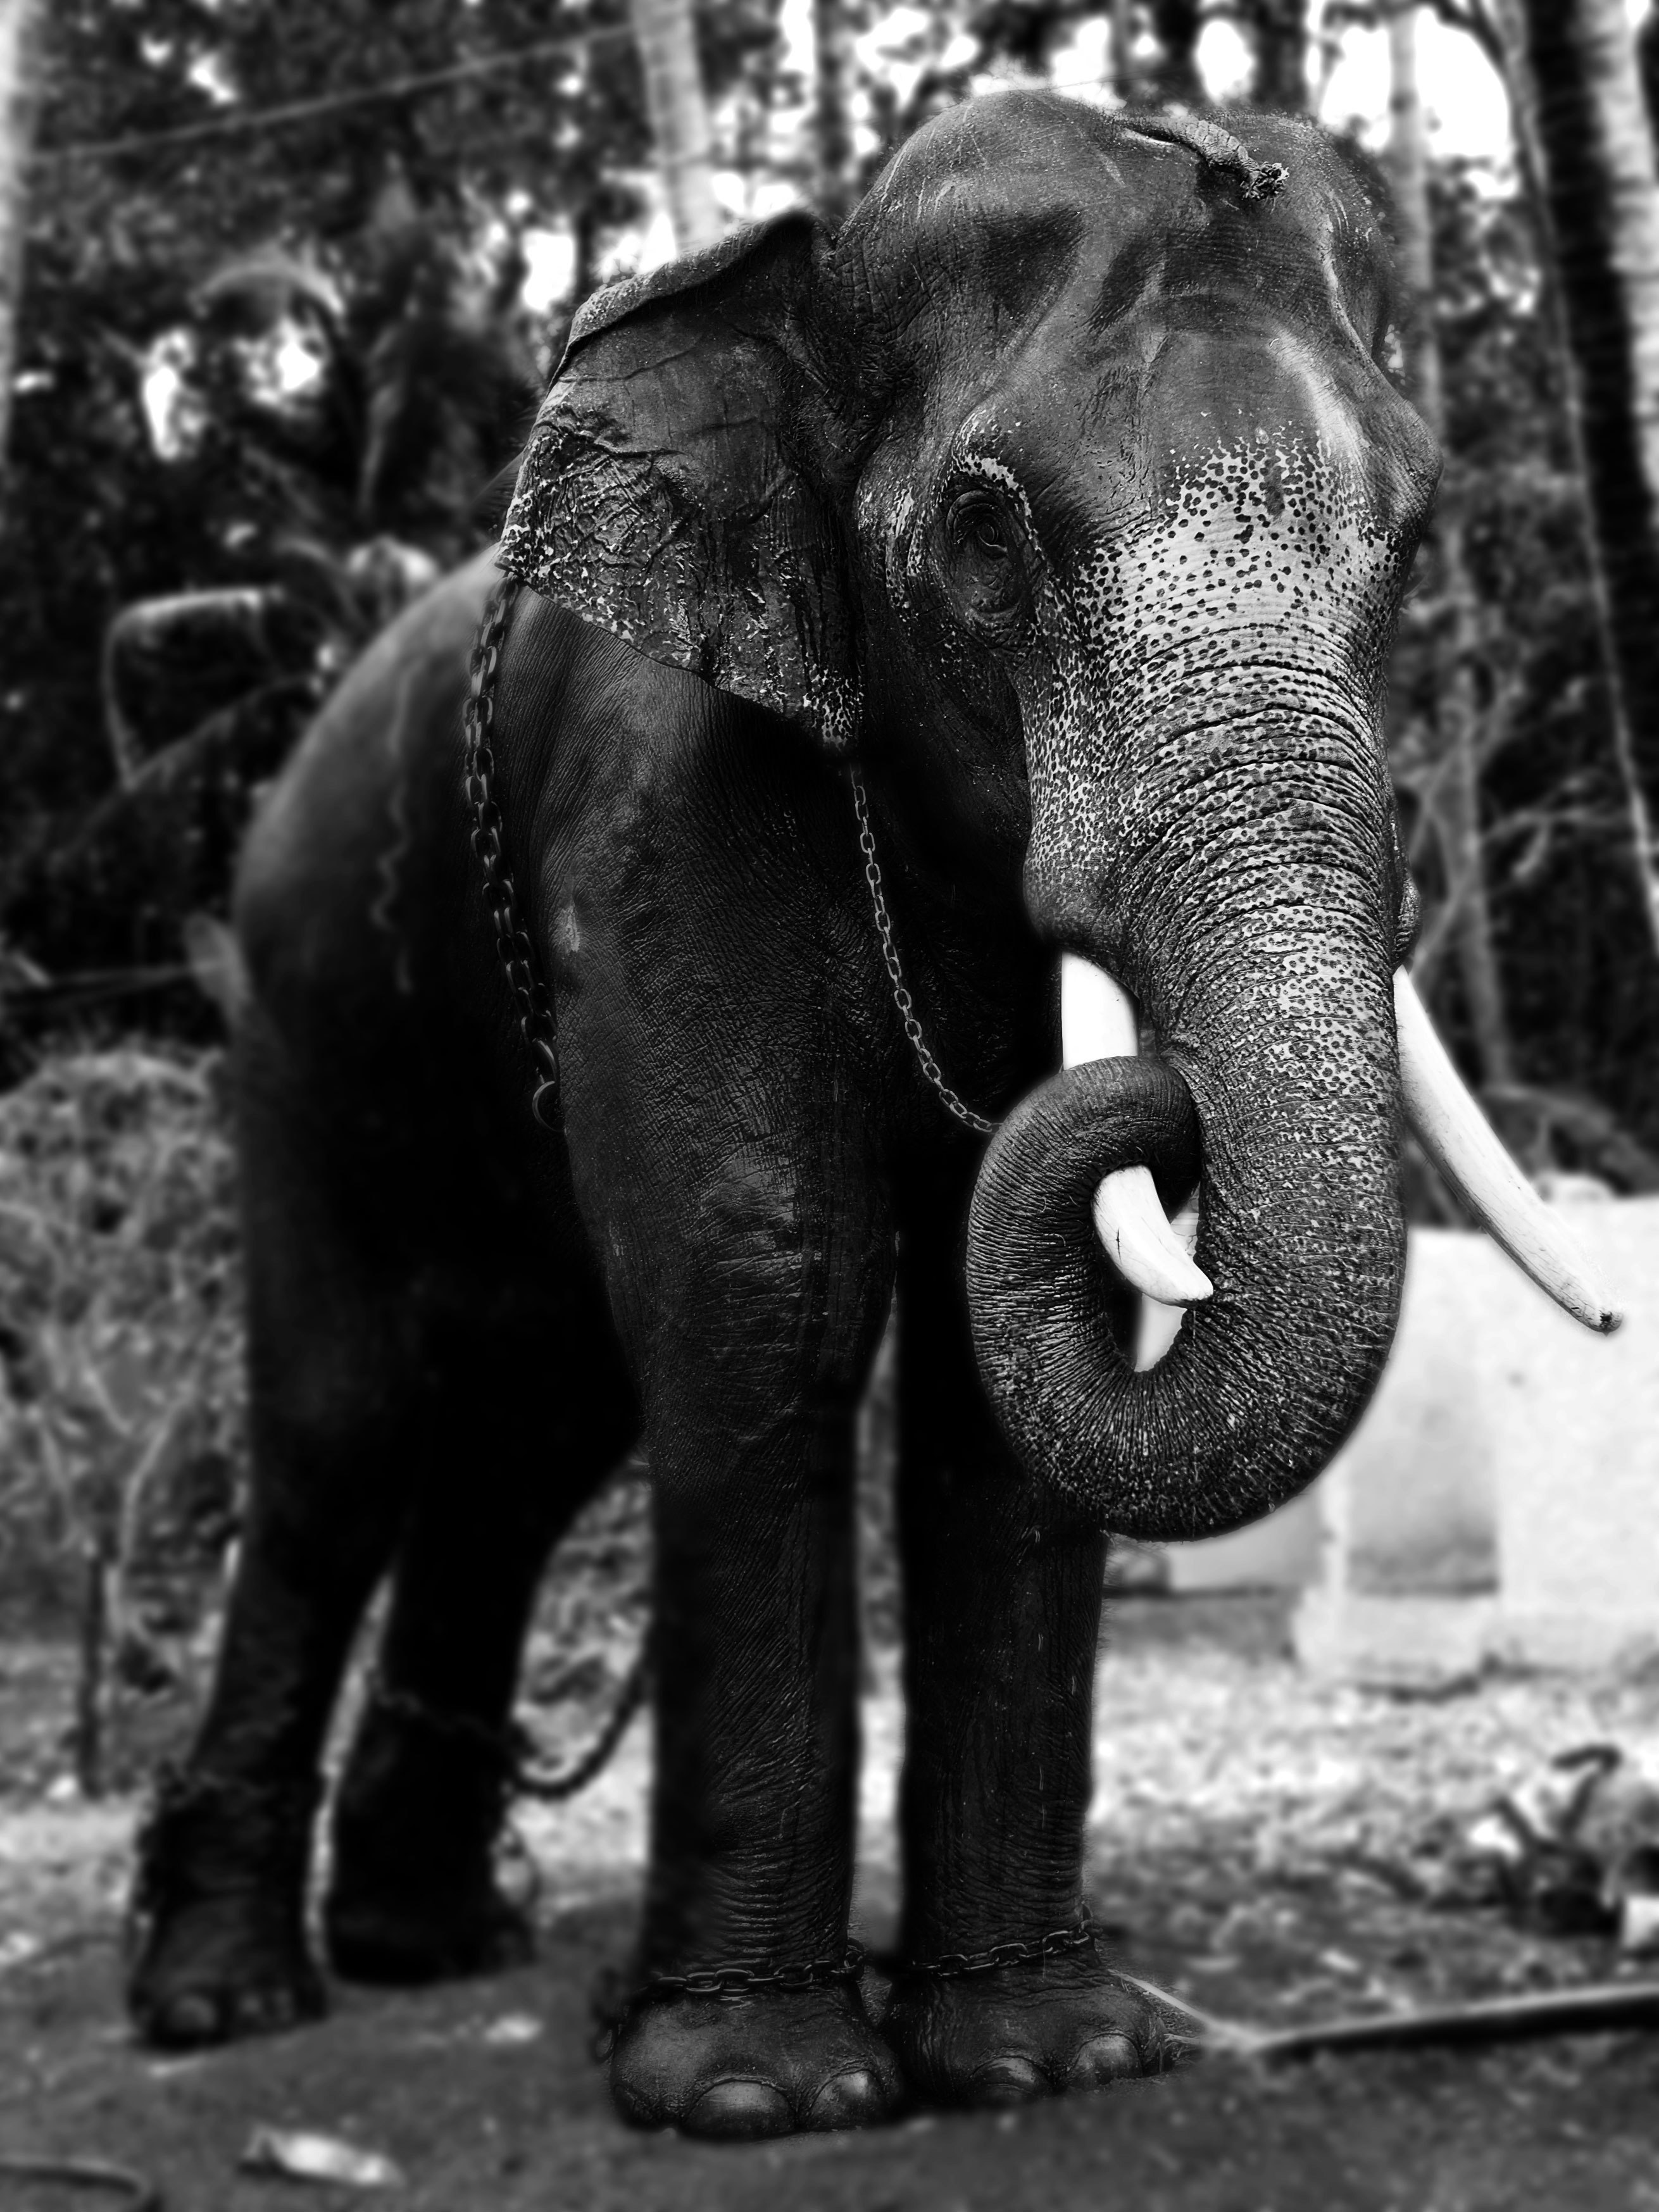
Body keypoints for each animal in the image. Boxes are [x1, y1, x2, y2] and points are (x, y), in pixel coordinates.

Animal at [127, 91, 1628, 2141]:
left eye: (1412, 538)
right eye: (987, 531)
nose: (1160, 1108)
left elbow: (1001, 1380)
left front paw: (1051, 2059)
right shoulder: (659, 816)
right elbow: (772, 1286)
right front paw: (760, 2095)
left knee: (532, 1432)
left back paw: (430, 1942)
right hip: (301, 1017)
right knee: (342, 1433)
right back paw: (227, 1999)